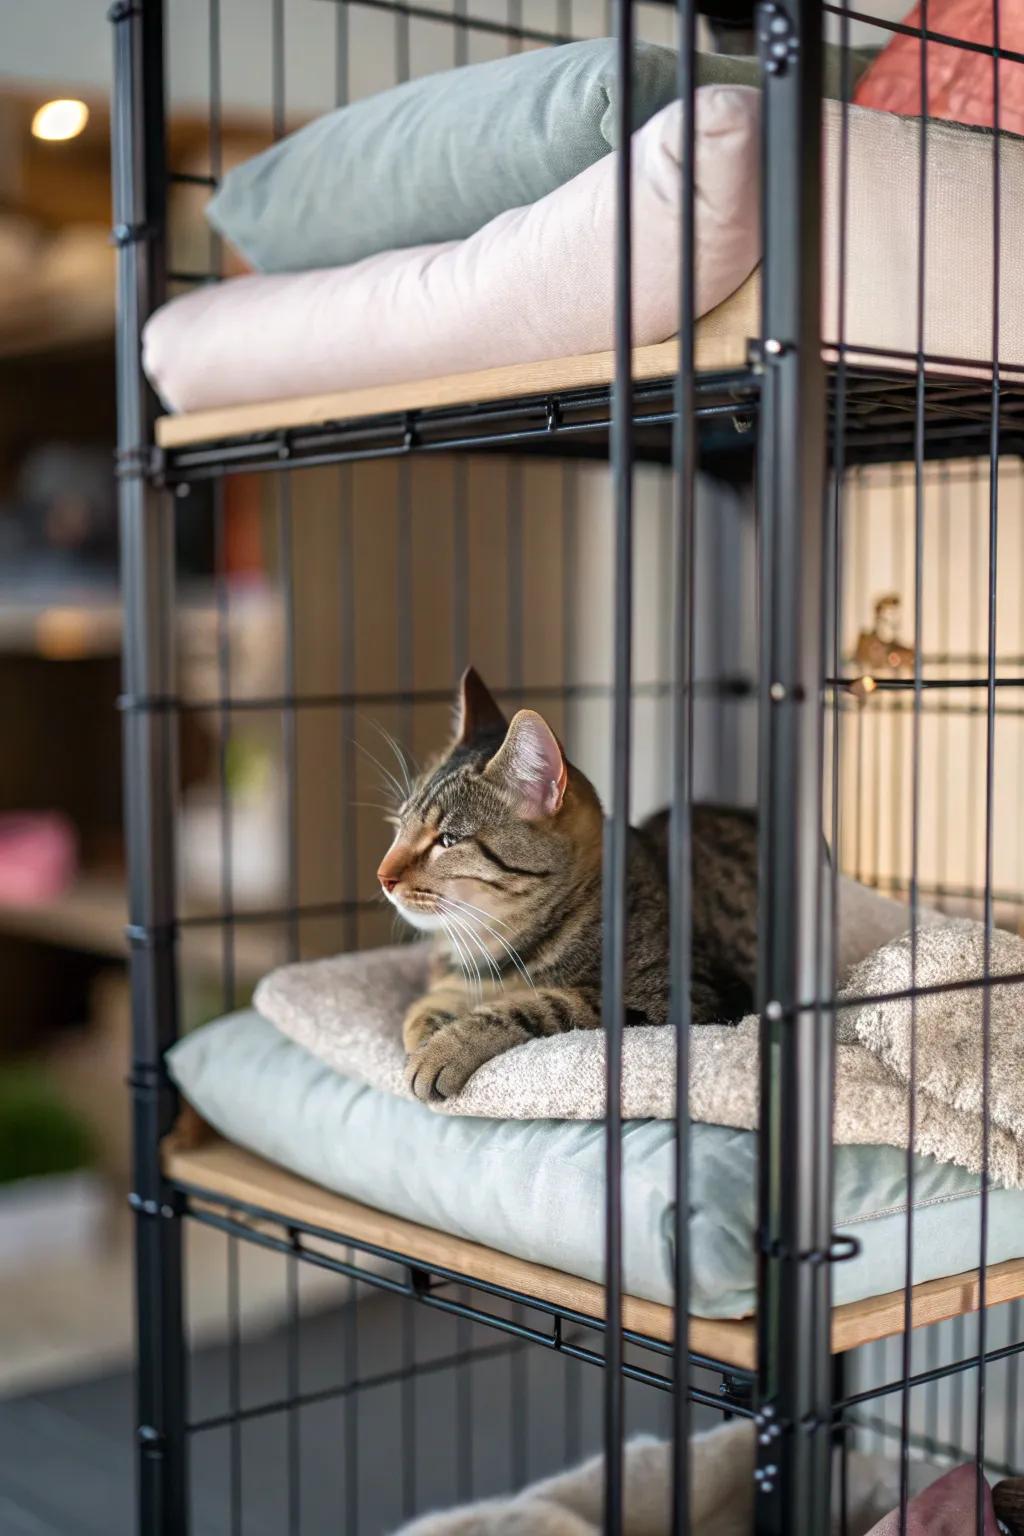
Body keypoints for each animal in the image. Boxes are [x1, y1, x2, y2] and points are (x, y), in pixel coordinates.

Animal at [379, 666, 761, 1099]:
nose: (382, 876)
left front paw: (446, 1046)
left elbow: (543, 1005)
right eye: (400, 825)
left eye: (447, 840)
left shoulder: (686, 996)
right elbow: (426, 1004)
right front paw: (429, 1023)